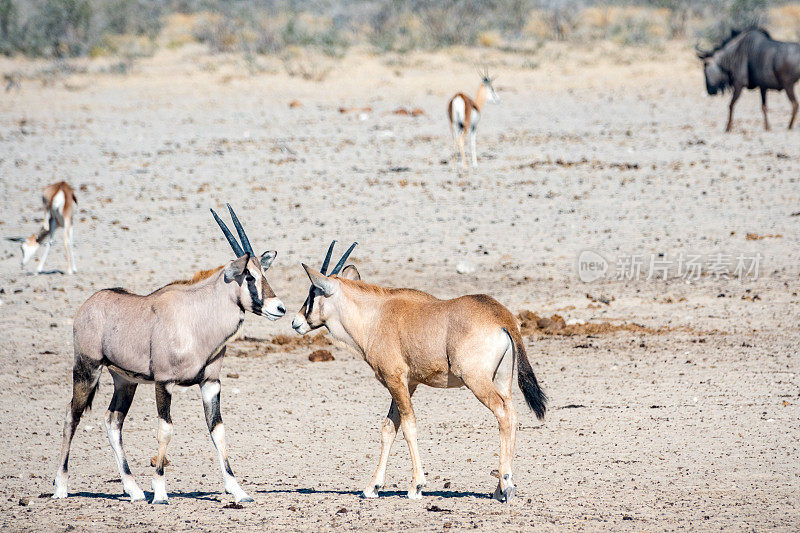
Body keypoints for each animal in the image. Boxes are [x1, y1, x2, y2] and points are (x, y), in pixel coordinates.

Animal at [52, 206, 284, 504]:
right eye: (249, 276)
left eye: (263, 273)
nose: (279, 308)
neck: (197, 318)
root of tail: (88, 304)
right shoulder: (164, 383)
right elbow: (166, 429)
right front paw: (160, 491)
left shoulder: (210, 383)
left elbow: (218, 430)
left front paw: (237, 490)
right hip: (87, 369)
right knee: (72, 415)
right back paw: (61, 487)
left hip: (125, 381)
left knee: (113, 421)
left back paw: (134, 490)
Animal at [290, 243, 548, 500]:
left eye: (313, 293)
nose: (296, 322)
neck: (375, 315)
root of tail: (501, 317)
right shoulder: (409, 383)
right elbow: (389, 427)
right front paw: (372, 487)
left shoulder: (395, 380)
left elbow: (408, 425)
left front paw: (416, 486)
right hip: (502, 380)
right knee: (512, 414)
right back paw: (499, 487)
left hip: (476, 380)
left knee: (503, 413)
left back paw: (506, 484)